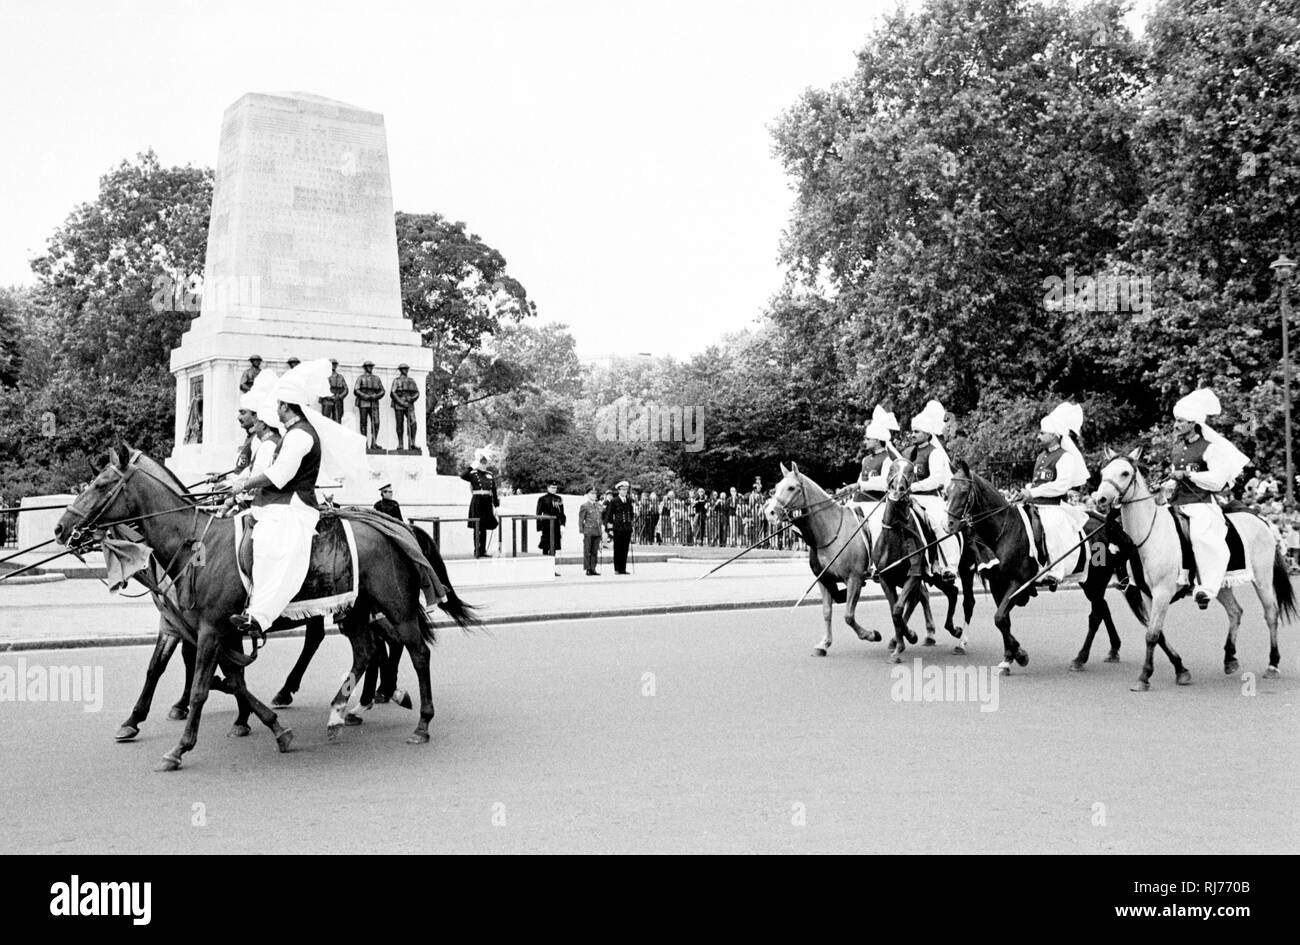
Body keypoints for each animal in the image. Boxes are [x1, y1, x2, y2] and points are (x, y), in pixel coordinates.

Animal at [57, 444, 478, 769]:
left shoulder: (211, 629)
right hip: (356, 611)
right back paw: (342, 710)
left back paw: (417, 721)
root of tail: (398, 525)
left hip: (397, 606)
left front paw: (180, 747)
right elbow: (223, 679)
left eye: (101, 484)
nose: (62, 528)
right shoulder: (204, 628)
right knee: (366, 651)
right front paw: (272, 727)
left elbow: (202, 687)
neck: (197, 545)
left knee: (416, 651)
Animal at [873, 457, 977, 657]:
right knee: (952, 592)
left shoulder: (913, 576)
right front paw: (899, 641)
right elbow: (894, 609)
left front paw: (909, 636)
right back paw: (951, 629)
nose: (898, 490)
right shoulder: (886, 578)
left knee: (967, 601)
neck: (896, 535)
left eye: (911, 470)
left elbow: (898, 609)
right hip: (934, 577)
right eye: (891, 468)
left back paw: (961, 642)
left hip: (965, 570)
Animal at [946, 457, 1149, 670]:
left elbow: (999, 618)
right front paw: (1010, 656)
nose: (949, 525)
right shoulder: (997, 584)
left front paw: (1019, 655)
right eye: (946, 491)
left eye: (963, 491)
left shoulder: (1018, 582)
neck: (1005, 530)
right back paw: (1113, 649)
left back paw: (1080, 658)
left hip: (1097, 579)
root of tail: (1106, 522)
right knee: (1103, 608)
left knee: (1096, 616)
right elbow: (1004, 621)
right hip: (1090, 582)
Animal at [1092, 447, 1294, 691]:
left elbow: (1152, 635)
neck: (1149, 534)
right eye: (1103, 472)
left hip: (1262, 579)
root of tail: (1260, 520)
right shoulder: (1147, 594)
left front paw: (1144, 677)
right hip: (1219, 583)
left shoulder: (1162, 592)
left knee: (1271, 613)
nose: (1100, 499)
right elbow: (1157, 633)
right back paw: (1230, 658)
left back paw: (1273, 664)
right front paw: (1181, 669)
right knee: (1235, 612)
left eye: (1124, 473)